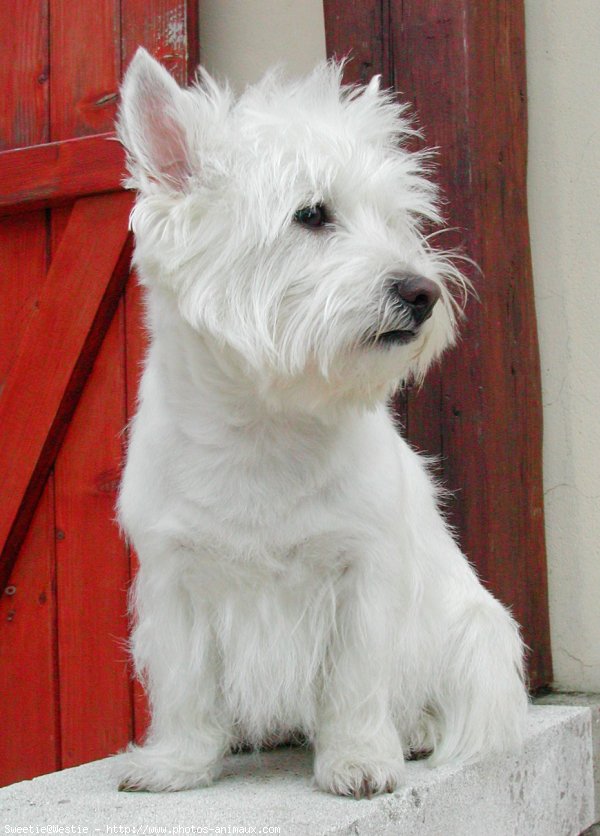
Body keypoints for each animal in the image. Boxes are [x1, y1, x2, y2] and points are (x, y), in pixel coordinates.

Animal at [115, 50, 528, 796]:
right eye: (311, 214)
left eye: (395, 220)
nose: (423, 292)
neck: (262, 424)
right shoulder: (173, 575)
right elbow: (186, 685)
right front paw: (174, 765)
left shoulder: (362, 570)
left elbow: (355, 681)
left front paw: (360, 761)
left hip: (475, 629)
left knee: (455, 700)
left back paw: (417, 733)